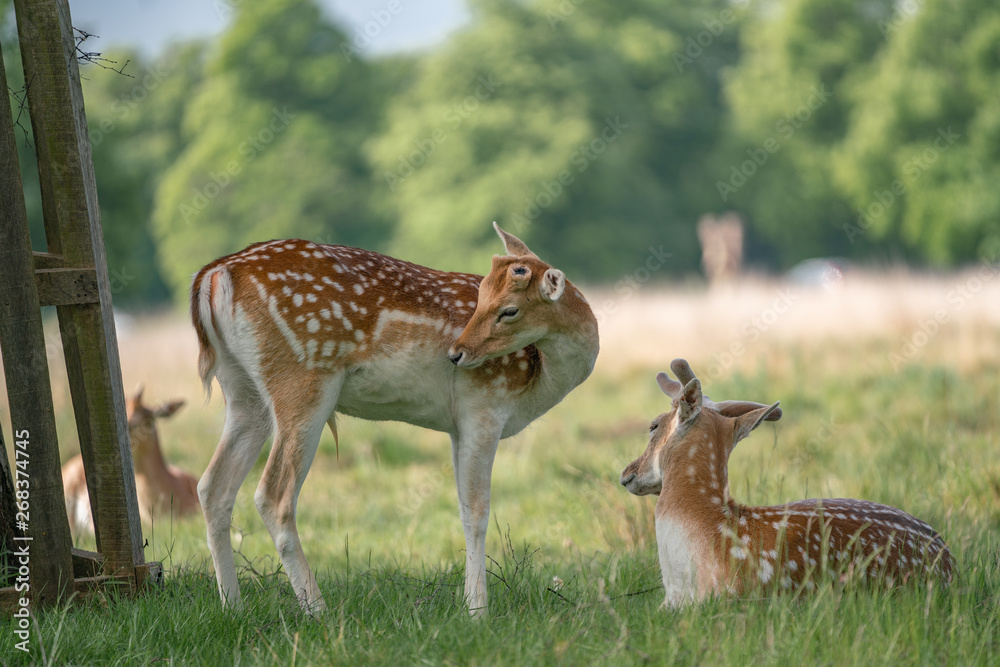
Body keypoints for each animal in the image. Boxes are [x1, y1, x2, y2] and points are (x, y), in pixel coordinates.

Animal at [193, 223, 600, 616]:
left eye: (509, 309)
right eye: (482, 296)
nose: (457, 354)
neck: (540, 376)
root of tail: (214, 274)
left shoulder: (457, 426)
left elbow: (461, 508)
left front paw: (469, 605)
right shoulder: (484, 407)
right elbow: (478, 513)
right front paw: (477, 611)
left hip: (243, 391)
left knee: (212, 486)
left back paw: (233, 607)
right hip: (303, 378)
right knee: (273, 495)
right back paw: (318, 611)